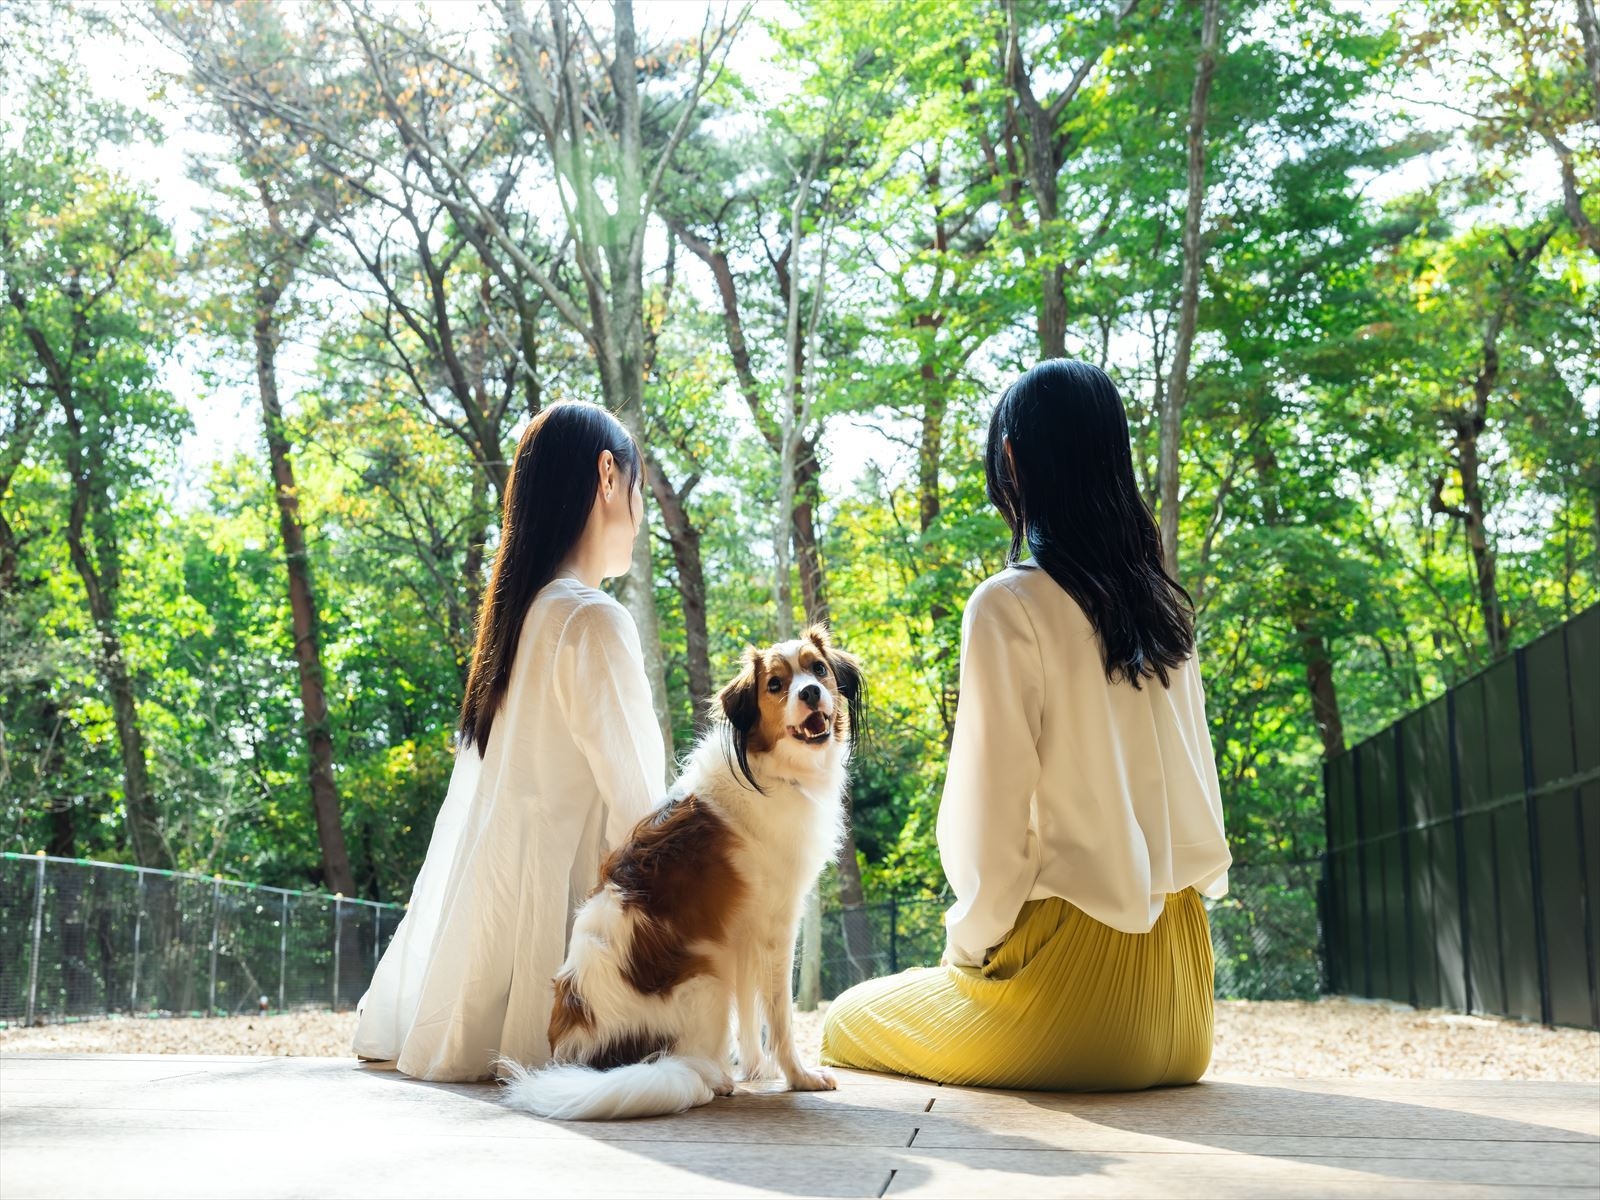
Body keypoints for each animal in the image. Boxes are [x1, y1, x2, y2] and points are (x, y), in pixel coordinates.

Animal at [508, 624, 864, 1126]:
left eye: (818, 669)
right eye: (776, 685)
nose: (811, 692)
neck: (770, 770)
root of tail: (581, 1058)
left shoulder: (741, 936)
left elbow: (750, 1012)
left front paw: (758, 1071)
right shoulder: (775, 926)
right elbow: (779, 1013)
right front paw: (799, 1076)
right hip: (707, 979)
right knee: (693, 1064)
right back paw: (714, 1079)